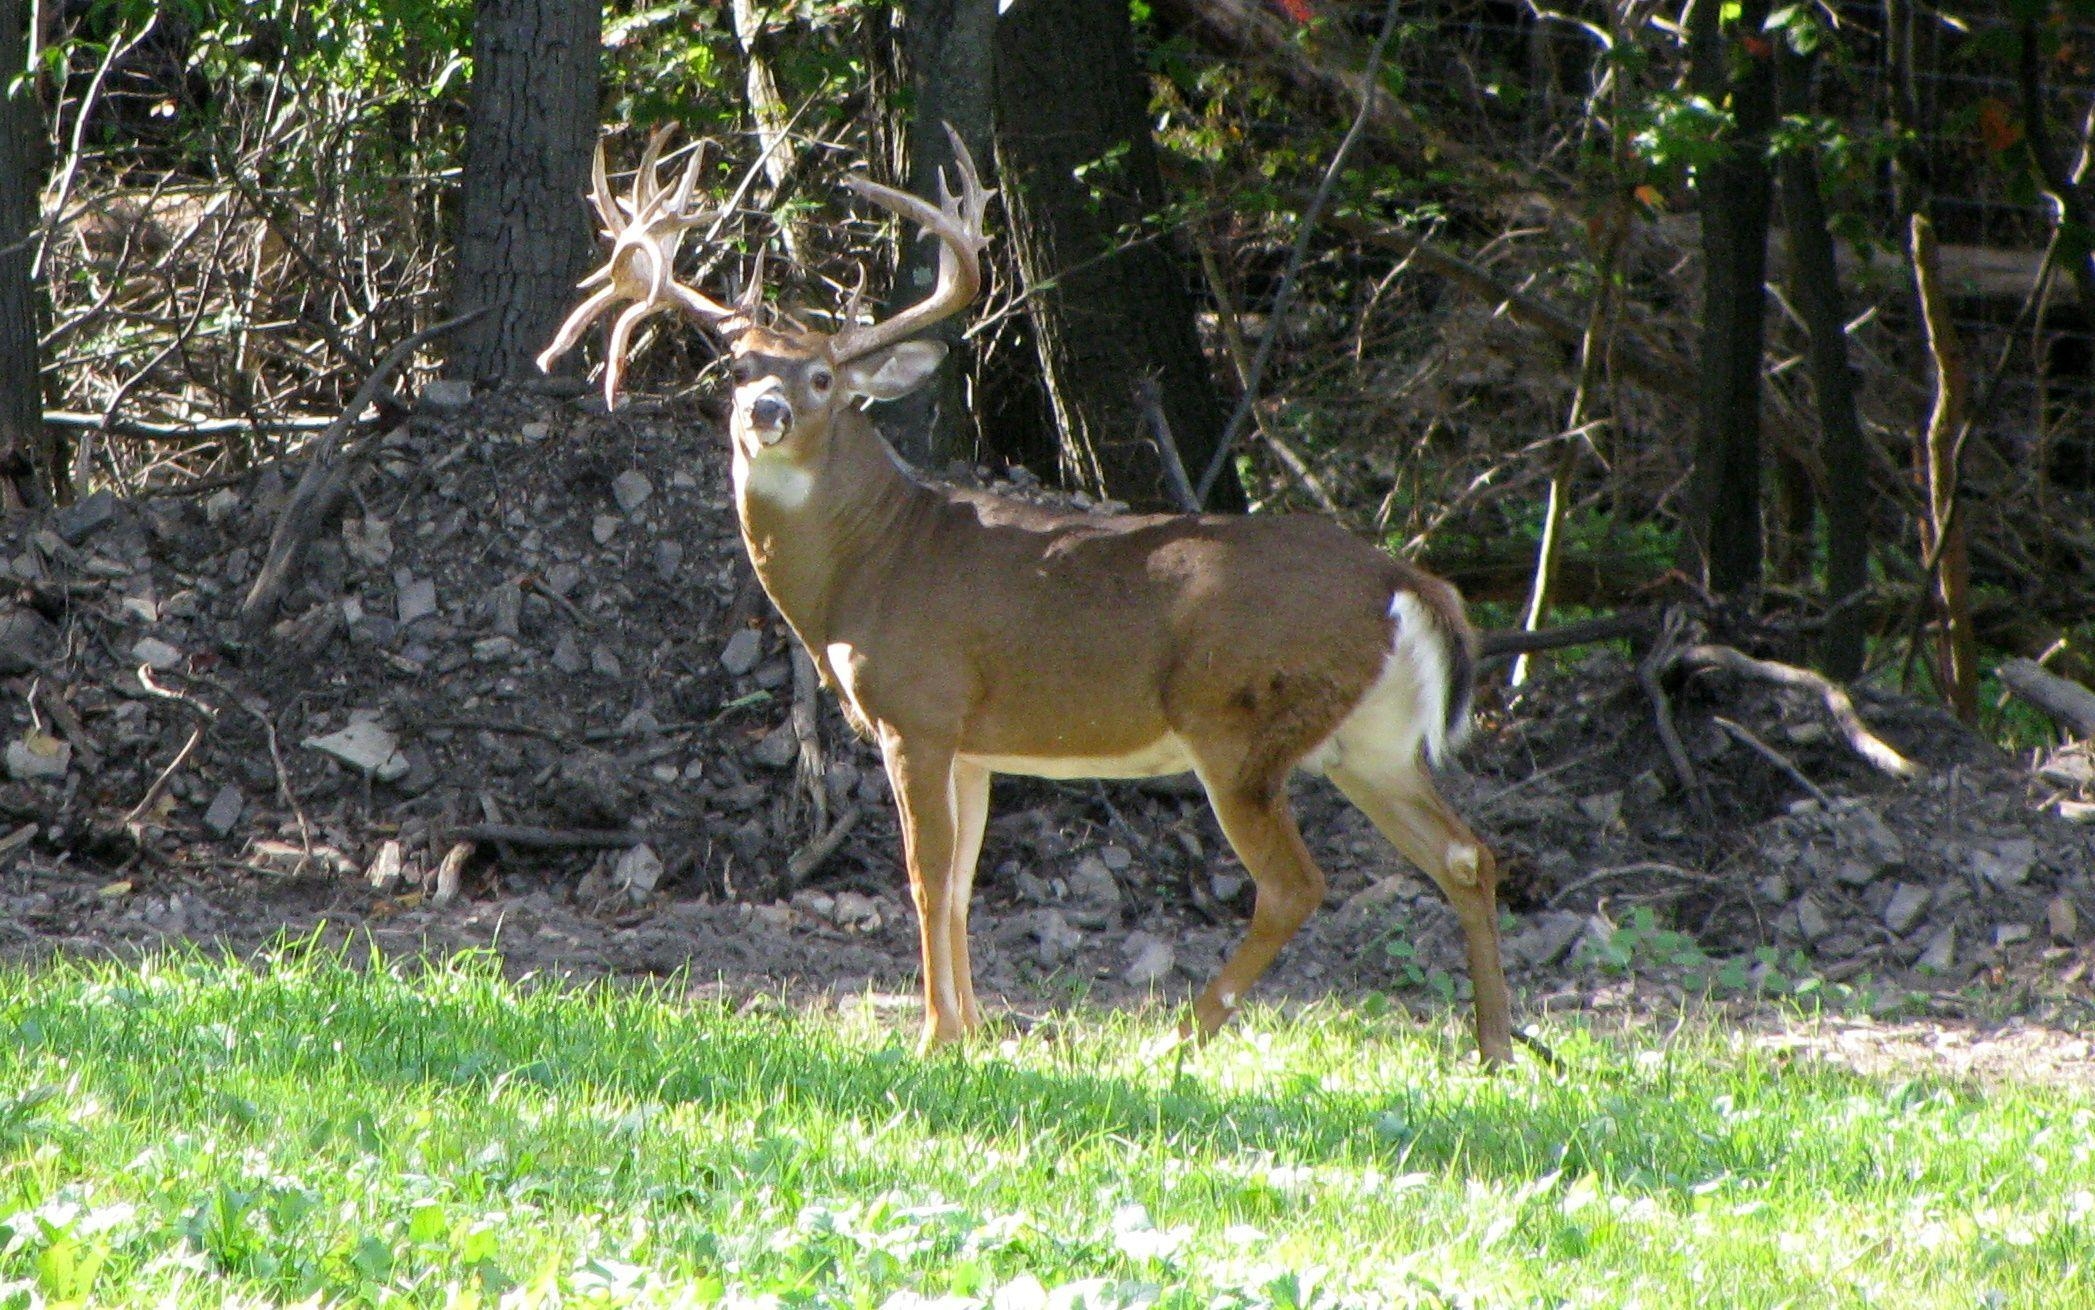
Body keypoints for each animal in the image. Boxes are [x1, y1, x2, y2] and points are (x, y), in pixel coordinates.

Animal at [536, 125, 1525, 1064]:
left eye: (821, 377)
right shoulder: (975, 744)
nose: (763, 414)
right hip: (1370, 740)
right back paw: (1493, 1048)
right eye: (738, 371)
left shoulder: (917, 710)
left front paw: (933, 1037)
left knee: (1295, 884)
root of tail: (1404, 580)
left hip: (1236, 719)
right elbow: (962, 885)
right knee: (1466, 853)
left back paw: (1177, 1037)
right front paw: (972, 1031)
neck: (868, 562)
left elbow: (924, 876)